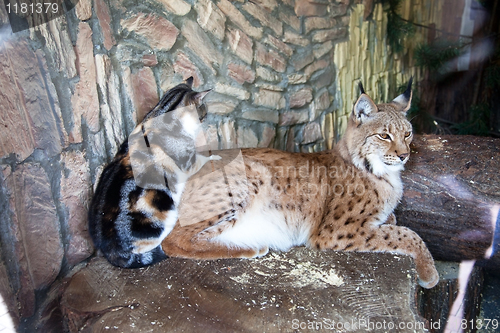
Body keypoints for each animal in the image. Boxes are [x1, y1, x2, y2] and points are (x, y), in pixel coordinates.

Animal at [87, 77, 219, 268]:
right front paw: (213, 156)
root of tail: (110, 251)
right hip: (163, 216)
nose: (205, 118)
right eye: (204, 110)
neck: (161, 113)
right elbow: (202, 158)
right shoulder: (188, 161)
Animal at [163, 78, 438, 288]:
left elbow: (394, 221)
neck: (380, 171)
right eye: (384, 135)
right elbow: (407, 234)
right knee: (173, 241)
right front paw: (429, 272)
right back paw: (249, 247)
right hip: (253, 175)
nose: (405, 155)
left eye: (407, 134)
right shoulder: (336, 231)